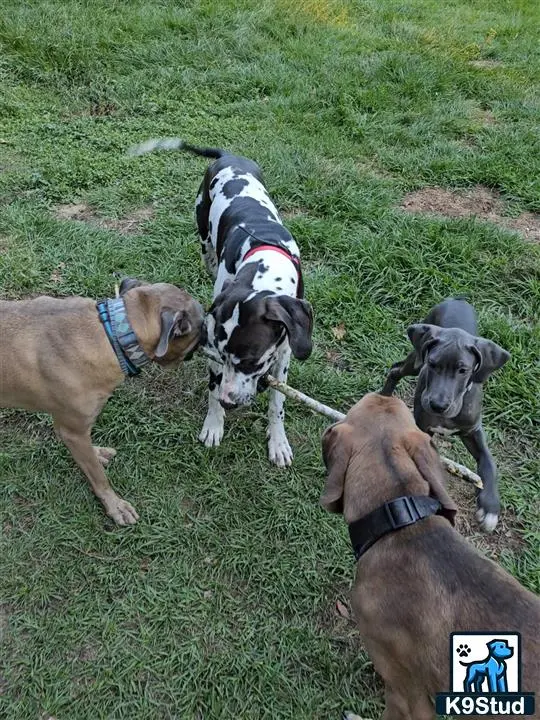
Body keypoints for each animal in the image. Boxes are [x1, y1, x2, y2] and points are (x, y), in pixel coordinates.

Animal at [131, 139, 314, 466]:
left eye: (253, 361)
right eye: (223, 356)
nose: (230, 403)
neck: (263, 259)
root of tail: (228, 156)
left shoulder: (283, 356)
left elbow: (278, 402)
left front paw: (278, 441)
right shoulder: (215, 351)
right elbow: (212, 388)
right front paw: (214, 424)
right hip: (204, 240)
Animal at [380, 296, 510, 532]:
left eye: (463, 370)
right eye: (432, 364)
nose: (438, 405)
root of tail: (458, 297)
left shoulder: (472, 431)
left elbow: (489, 463)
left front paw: (489, 506)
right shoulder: (422, 428)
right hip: (415, 362)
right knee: (395, 370)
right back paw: (383, 398)